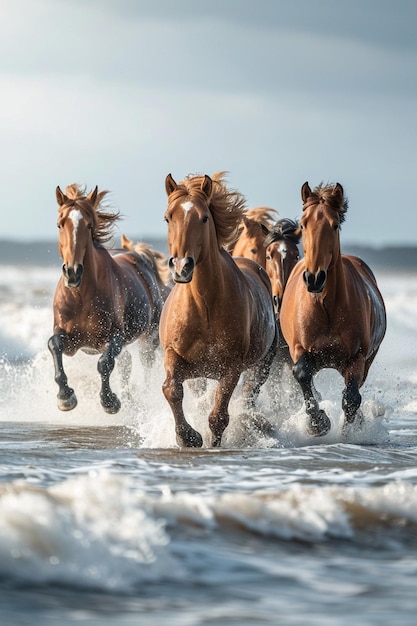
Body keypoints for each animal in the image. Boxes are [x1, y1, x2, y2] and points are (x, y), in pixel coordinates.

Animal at [47, 183, 167, 412]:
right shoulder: (69, 339)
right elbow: (54, 345)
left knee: (144, 364)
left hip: (149, 338)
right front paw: (65, 397)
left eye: (89, 225)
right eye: (59, 224)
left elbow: (105, 363)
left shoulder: (114, 338)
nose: (73, 272)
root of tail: (140, 258)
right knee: (126, 364)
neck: (81, 296)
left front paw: (110, 401)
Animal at [161, 168, 278, 446]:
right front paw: (188, 437)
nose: (181, 267)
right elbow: (171, 389)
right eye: (168, 217)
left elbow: (218, 417)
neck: (205, 306)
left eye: (204, 218)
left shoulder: (231, 368)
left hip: (262, 365)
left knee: (250, 393)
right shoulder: (173, 354)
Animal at [278, 180, 386, 434]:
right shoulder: (299, 349)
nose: (314, 278)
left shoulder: (357, 357)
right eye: (303, 224)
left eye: (334, 224)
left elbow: (351, 398)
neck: (325, 307)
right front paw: (318, 423)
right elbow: (302, 374)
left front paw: (350, 432)